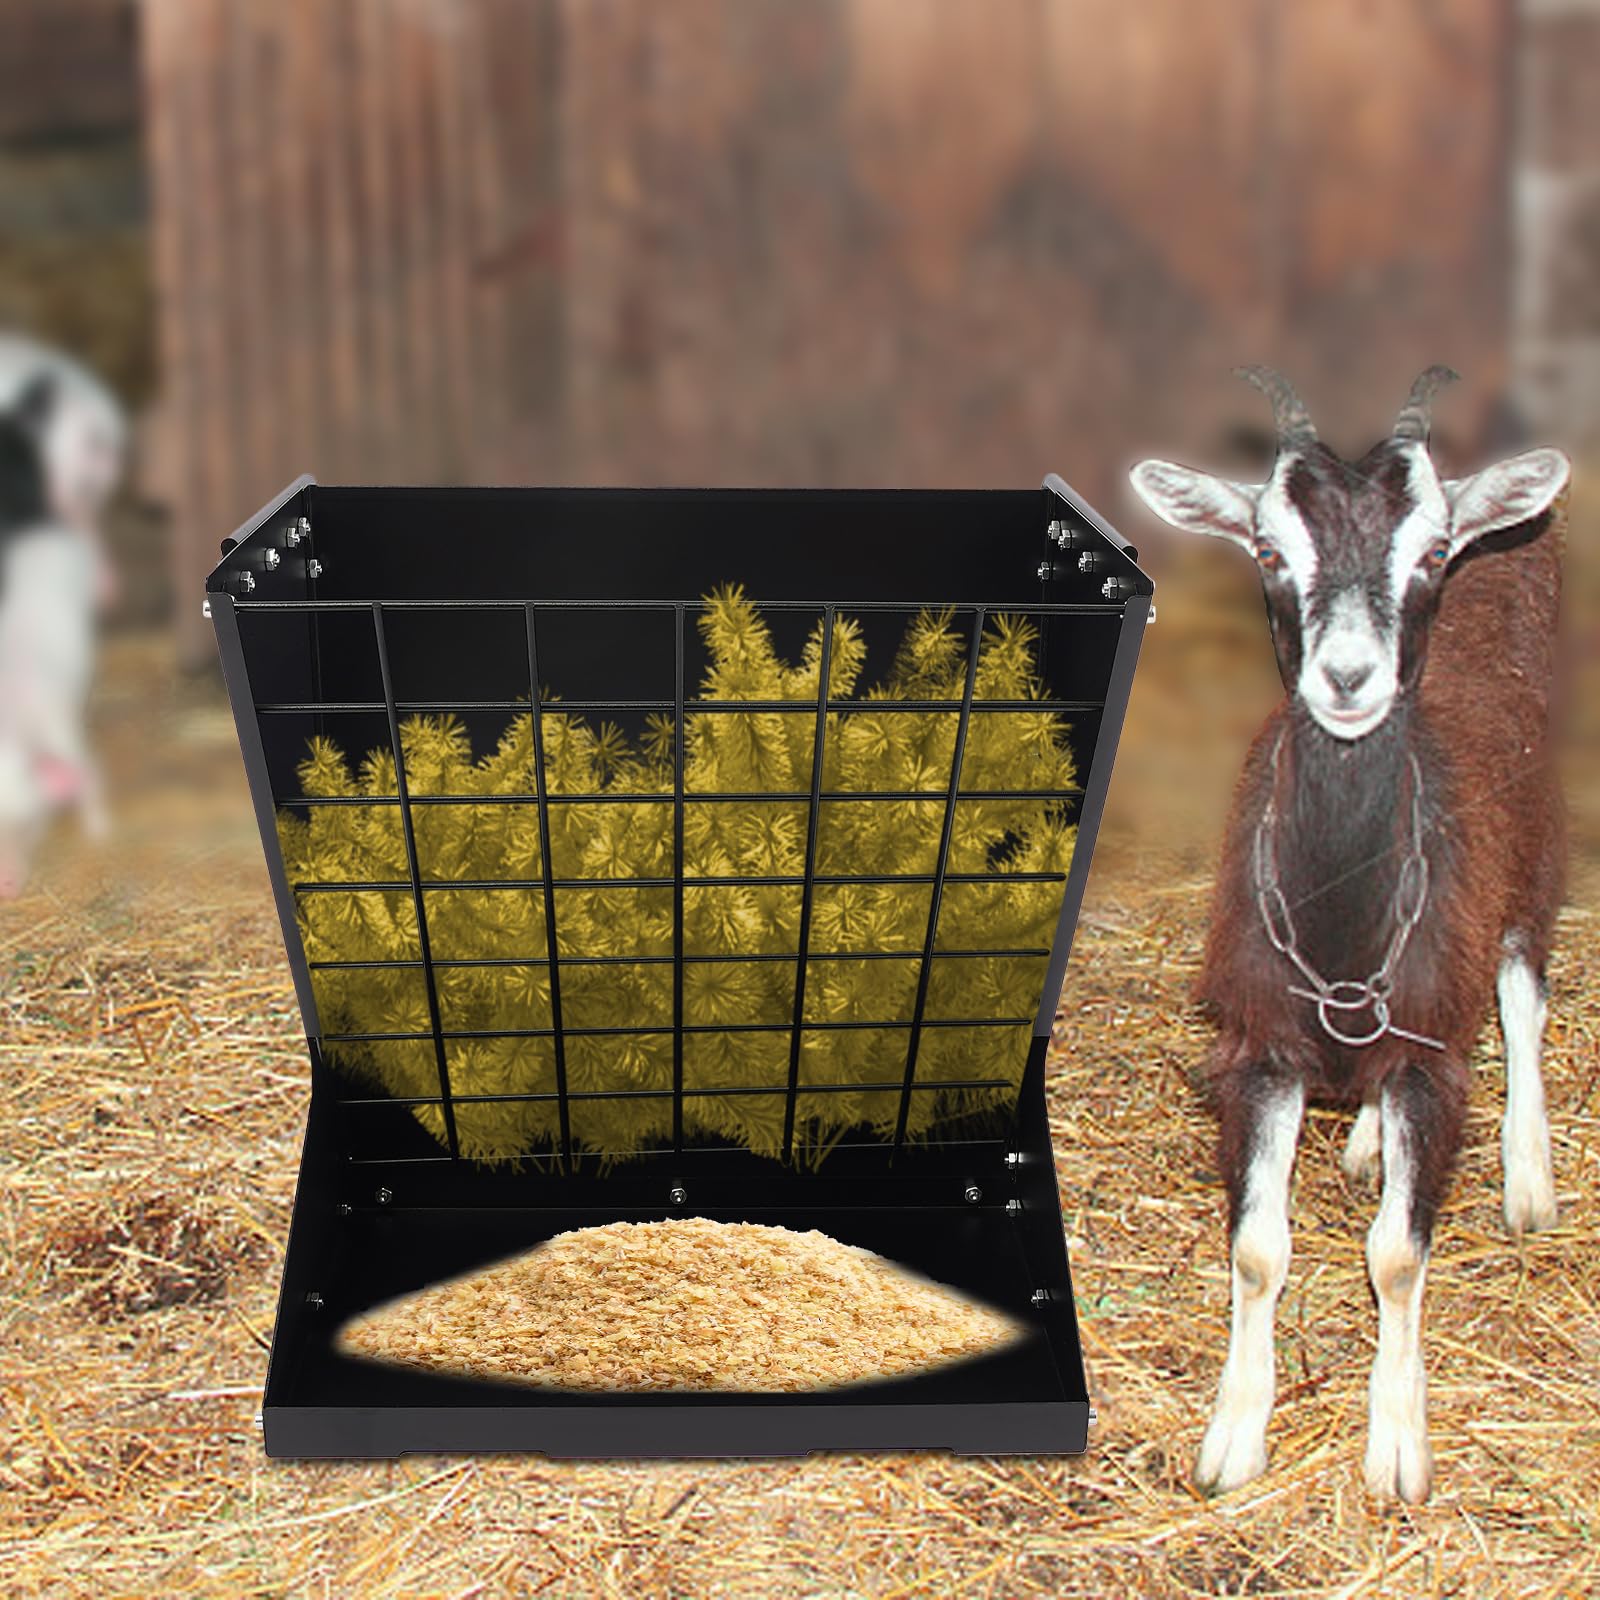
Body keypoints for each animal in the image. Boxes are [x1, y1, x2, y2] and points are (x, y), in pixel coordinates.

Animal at [1128, 366, 1570, 1503]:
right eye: (1269, 550)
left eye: (1432, 552)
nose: (1349, 678)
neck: (1340, 924)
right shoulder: (1258, 1049)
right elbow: (1255, 1248)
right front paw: (1233, 1438)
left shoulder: (1431, 1063)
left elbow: (1398, 1257)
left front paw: (1398, 1448)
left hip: (1528, 849)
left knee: (1521, 987)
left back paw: (1529, 1175)